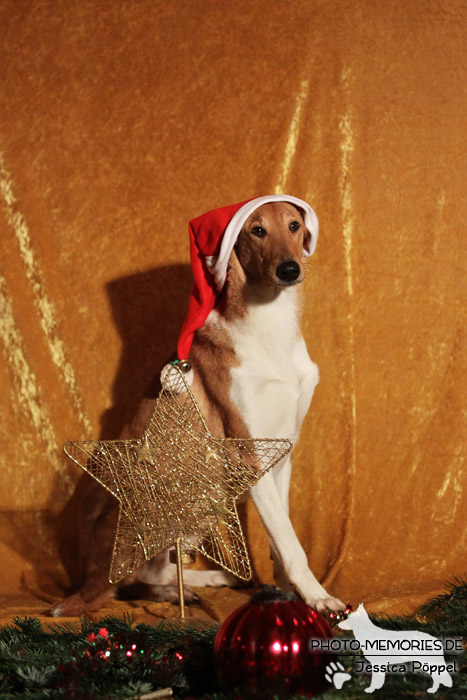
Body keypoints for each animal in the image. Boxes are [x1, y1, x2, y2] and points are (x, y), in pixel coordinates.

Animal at [52, 194, 344, 616]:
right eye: (256, 230)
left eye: (293, 225)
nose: (289, 270)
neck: (269, 323)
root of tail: (86, 579)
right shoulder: (249, 454)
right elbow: (290, 543)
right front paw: (318, 596)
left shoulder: (282, 452)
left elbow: (280, 537)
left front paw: (289, 594)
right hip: (168, 497)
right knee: (133, 578)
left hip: (205, 497)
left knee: (154, 571)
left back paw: (207, 582)